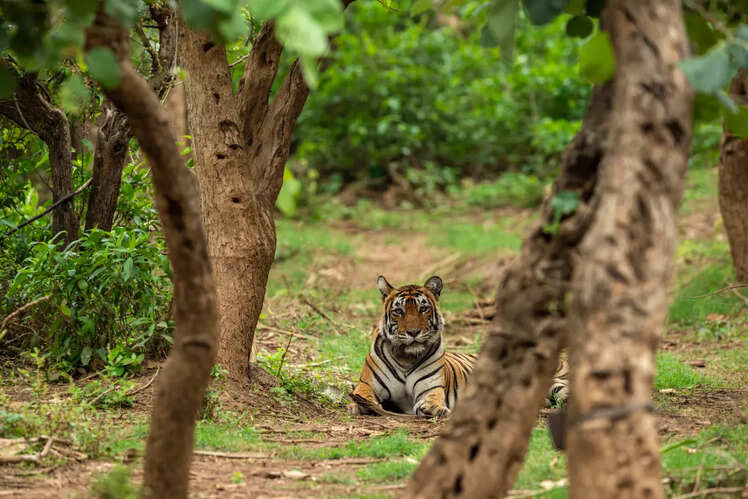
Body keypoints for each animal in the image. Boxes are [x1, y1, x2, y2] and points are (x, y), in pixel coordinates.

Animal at [350, 275, 569, 418]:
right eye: (398, 311)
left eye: (423, 308)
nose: (413, 332)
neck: (405, 358)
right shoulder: (367, 384)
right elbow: (363, 395)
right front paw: (361, 405)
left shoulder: (430, 389)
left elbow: (431, 400)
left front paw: (433, 409)